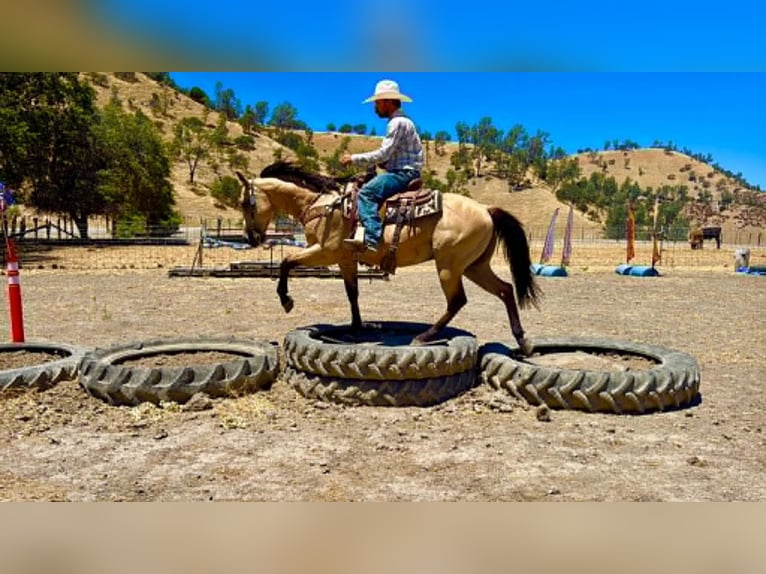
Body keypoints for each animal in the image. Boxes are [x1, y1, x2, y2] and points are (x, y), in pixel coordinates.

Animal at [236, 162, 541, 354]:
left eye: (244, 203)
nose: (252, 238)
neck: (321, 204)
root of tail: (486, 209)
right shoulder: (345, 259)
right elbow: (352, 293)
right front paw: (356, 329)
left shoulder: (325, 251)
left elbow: (286, 262)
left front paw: (286, 300)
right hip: (474, 266)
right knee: (506, 290)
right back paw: (523, 341)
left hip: (450, 266)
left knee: (458, 301)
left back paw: (423, 337)